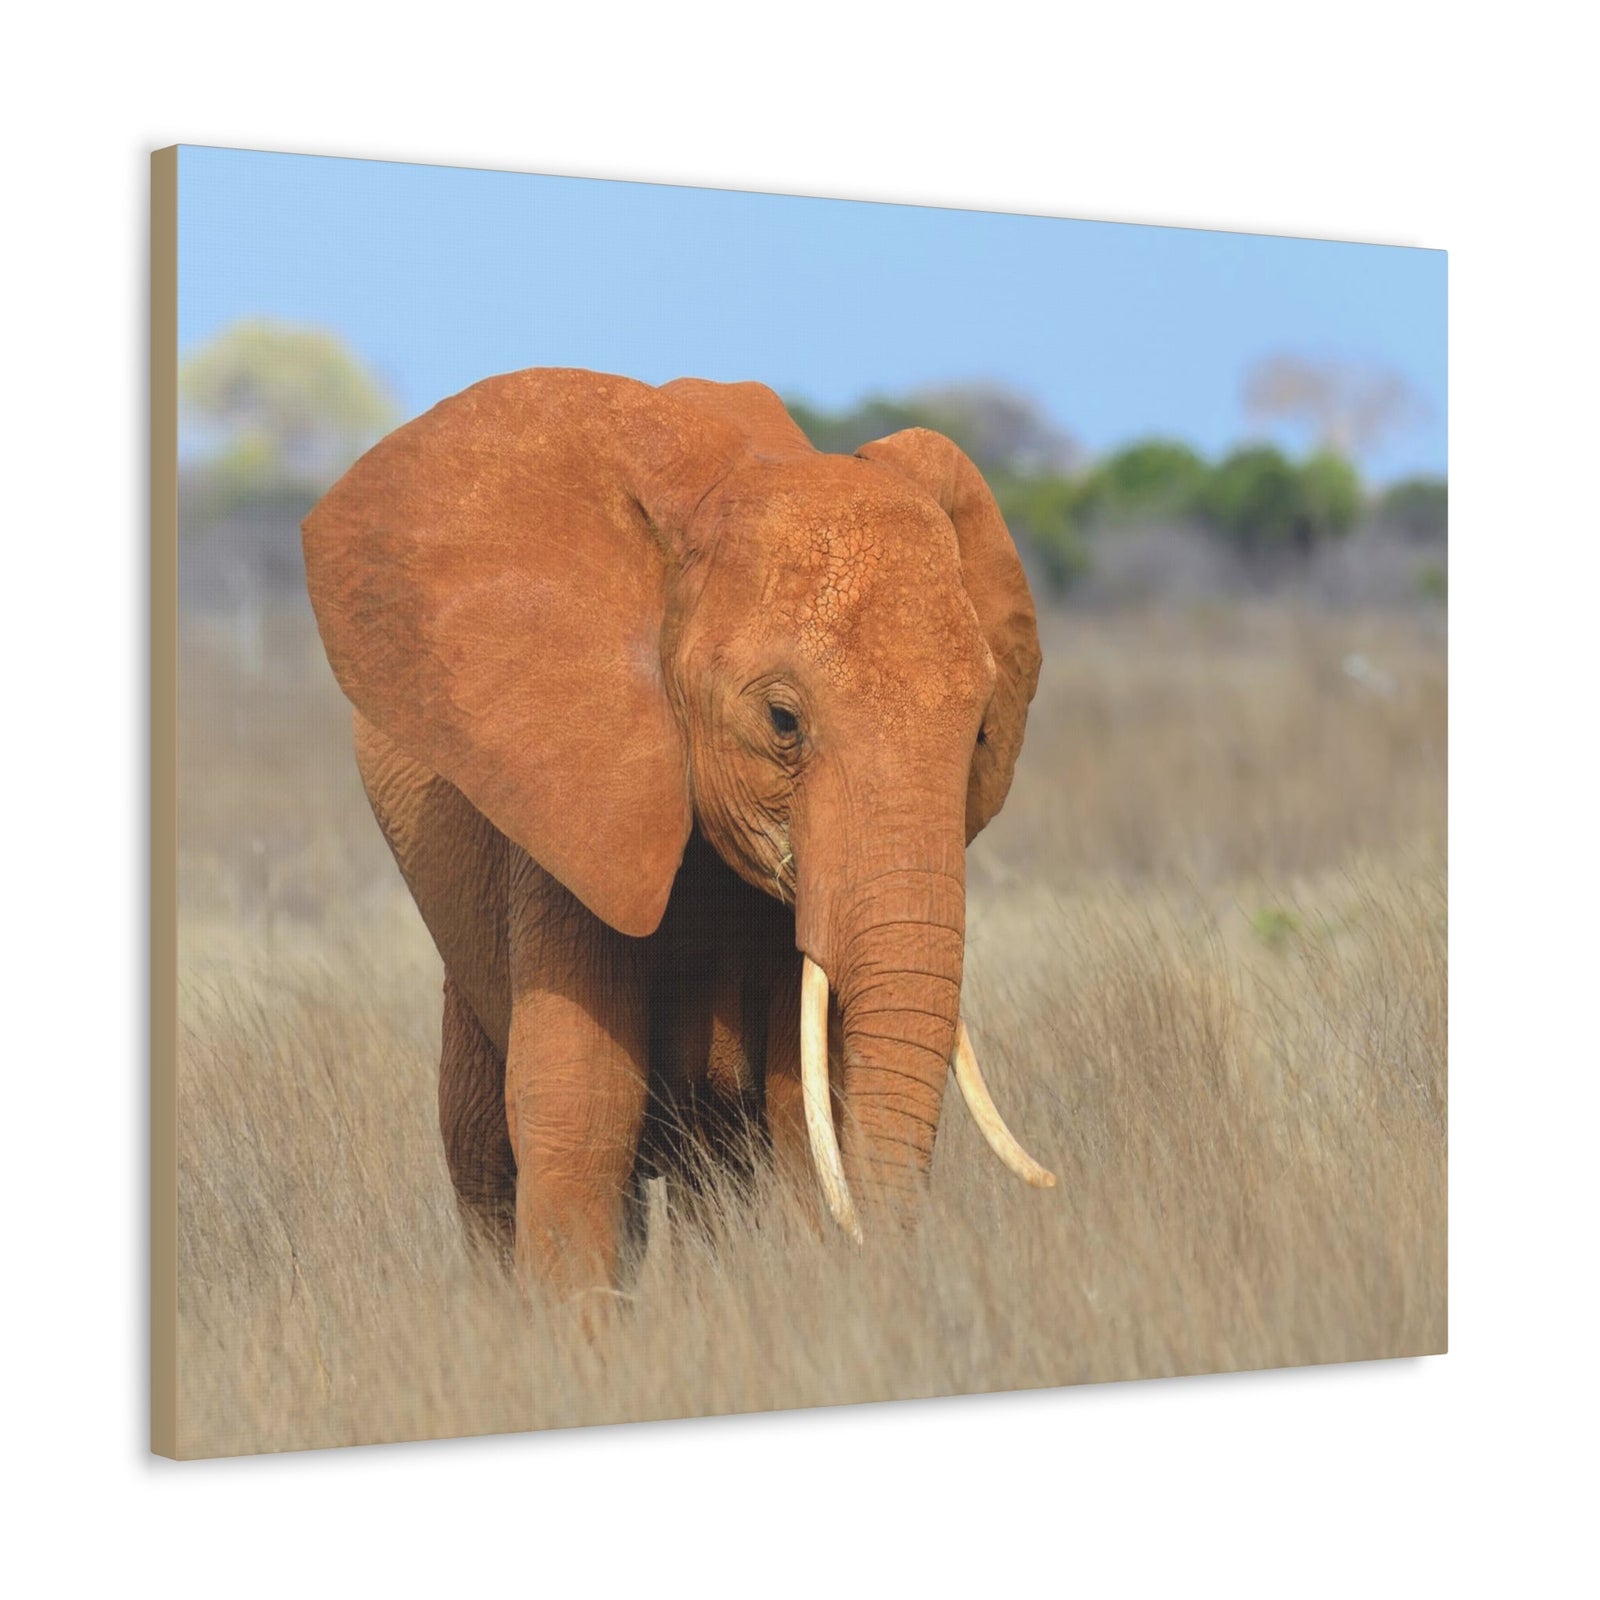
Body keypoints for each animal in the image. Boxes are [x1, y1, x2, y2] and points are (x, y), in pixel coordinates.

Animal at [301, 366, 1054, 1294]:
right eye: (782, 721)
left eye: (982, 729)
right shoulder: (565, 800)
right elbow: (580, 1105)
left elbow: (802, 1107)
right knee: (482, 1148)